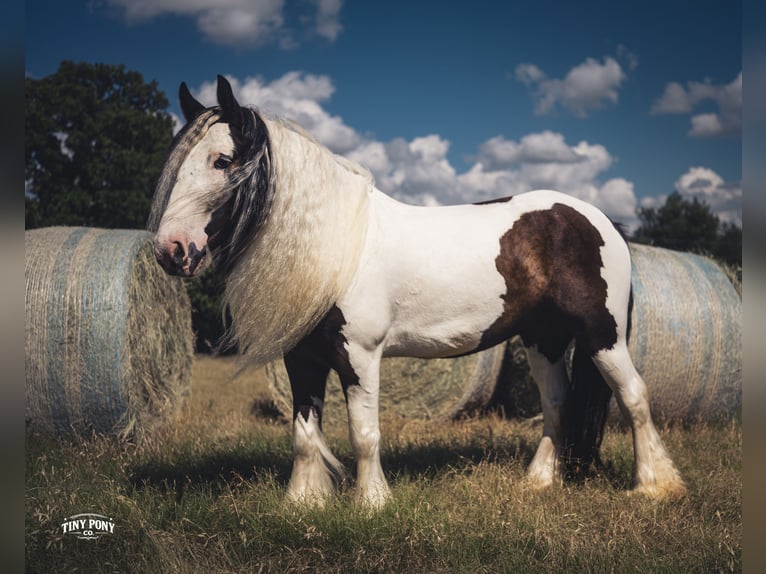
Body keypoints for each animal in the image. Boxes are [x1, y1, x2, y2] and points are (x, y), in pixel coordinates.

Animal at [148, 75, 686, 507]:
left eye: (222, 160)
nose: (171, 250)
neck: (339, 247)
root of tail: (599, 219)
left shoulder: (359, 355)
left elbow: (364, 433)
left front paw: (371, 503)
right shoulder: (300, 357)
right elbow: (303, 433)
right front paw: (302, 503)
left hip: (602, 335)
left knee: (634, 396)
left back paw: (654, 486)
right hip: (545, 339)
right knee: (556, 403)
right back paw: (538, 482)